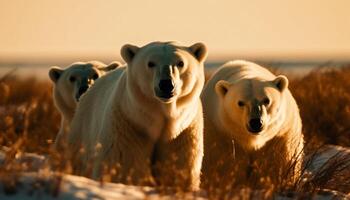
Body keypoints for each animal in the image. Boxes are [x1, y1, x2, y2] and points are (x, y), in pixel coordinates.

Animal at [68, 41, 208, 190]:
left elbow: (180, 168)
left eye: (180, 63)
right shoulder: (128, 126)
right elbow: (123, 166)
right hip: (83, 129)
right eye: (151, 63)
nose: (166, 84)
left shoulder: (183, 133)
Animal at [201, 60, 304, 190]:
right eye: (240, 102)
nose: (255, 122)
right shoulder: (219, 130)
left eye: (266, 100)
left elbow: (281, 160)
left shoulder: (281, 133)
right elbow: (220, 160)